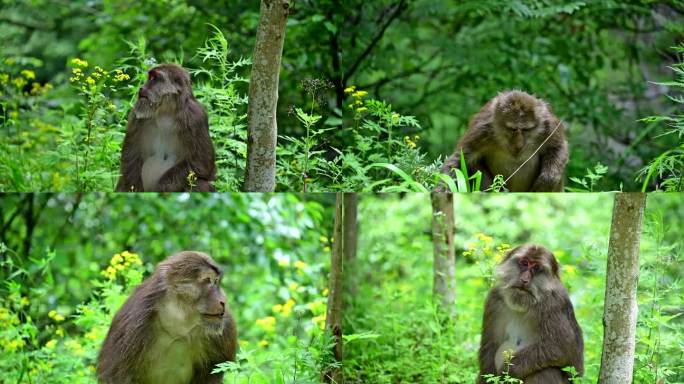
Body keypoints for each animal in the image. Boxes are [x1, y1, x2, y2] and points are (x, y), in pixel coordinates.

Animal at [95, 250, 236, 382]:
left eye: (216, 282)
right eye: (208, 280)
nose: (223, 301)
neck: (177, 325)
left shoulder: (225, 326)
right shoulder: (134, 323)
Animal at [115, 64, 216, 194]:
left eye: (154, 78)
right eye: (150, 78)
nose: (142, 88)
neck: (165, 113)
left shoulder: (195, 117)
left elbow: (200, 163)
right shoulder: (135, 117)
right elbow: (130, 158)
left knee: (199, 184)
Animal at [440, 90, 568, 192]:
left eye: (525, 130)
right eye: (513, 129)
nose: (518, 145)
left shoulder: (548, 125)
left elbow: (558, 147)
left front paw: (548, 180)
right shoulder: (482, 130)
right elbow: (459, 160)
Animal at [476, 244, 584, 382]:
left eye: (536, 268)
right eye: (524, 263)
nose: (524, 280)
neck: (524, 306)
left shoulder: (552, 303)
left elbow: (562, 348)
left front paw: (506, 374)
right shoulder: (495, 299)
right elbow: (490, 345)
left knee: (546, 371)